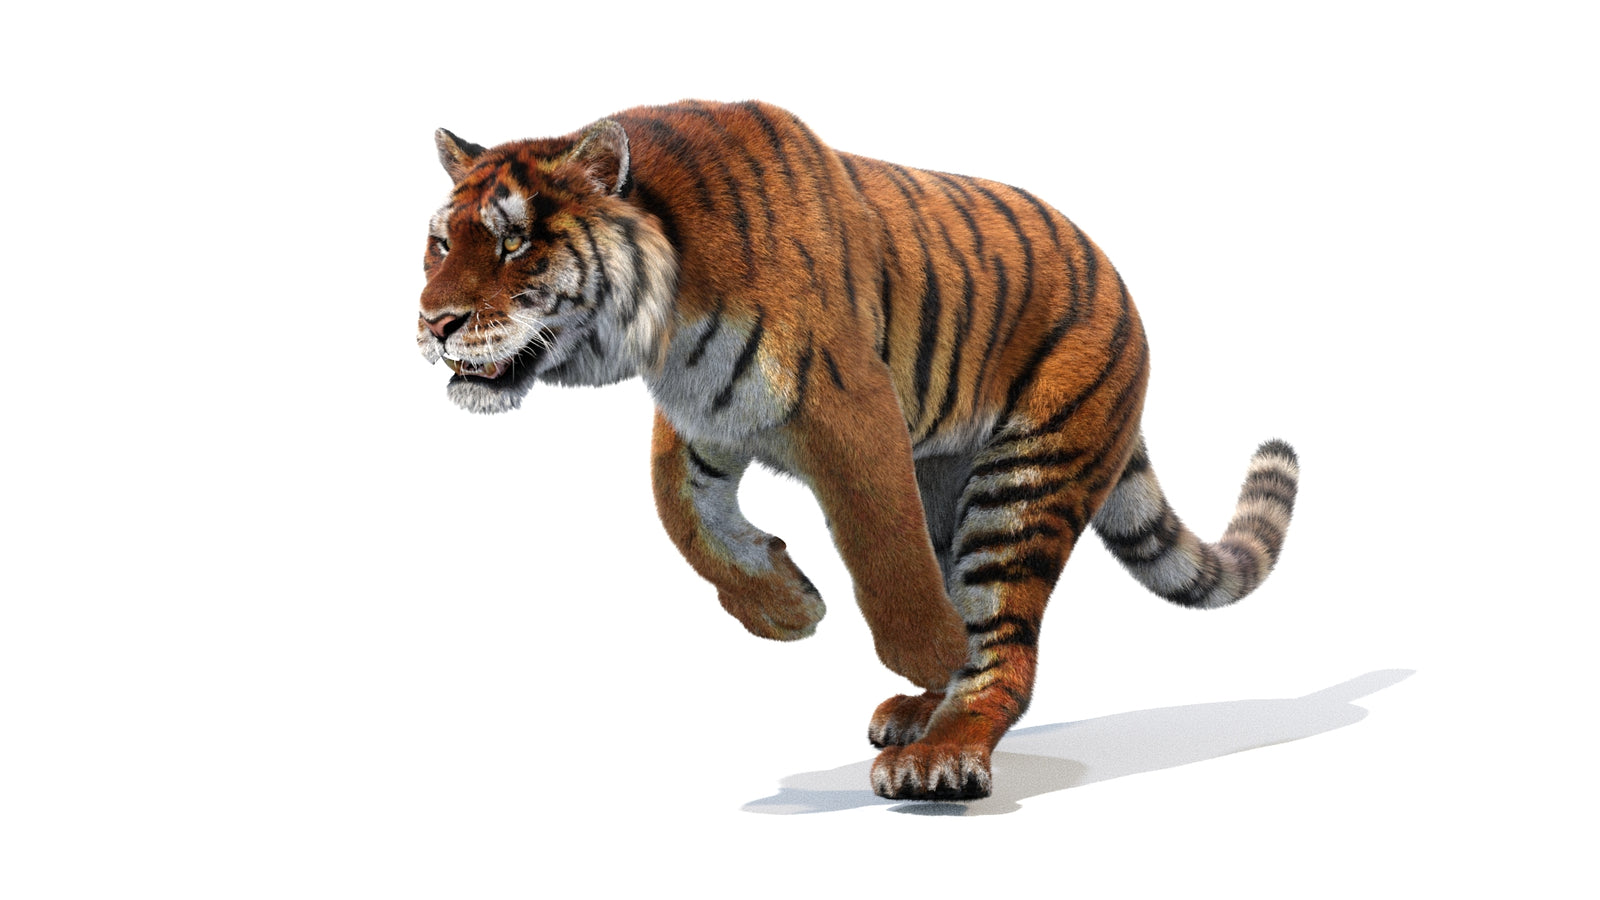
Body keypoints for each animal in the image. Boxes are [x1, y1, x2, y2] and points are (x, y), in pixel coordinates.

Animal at [415, 99, 1299, 801]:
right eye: (440, 245)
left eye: (515, 244)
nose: (434, 324)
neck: (665, 322)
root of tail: (1116, 281)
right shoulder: (704, 416)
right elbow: (680, 514)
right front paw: (786, 607)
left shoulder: (853, 403)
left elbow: (881, 544)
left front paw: (926, 648)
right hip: (952, 481)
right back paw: (922, 712)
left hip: (1024, 483)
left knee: (1003, 646)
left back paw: (941, 747)